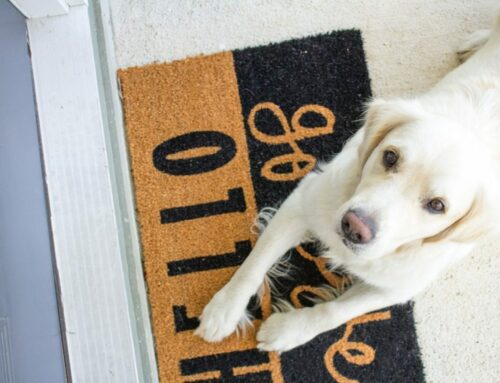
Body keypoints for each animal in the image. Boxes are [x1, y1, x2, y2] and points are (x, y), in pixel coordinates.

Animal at [194, 13, 500, 352]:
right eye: (390, 157)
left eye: (437, 205)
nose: (355, 227)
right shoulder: (304, 200)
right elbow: (255, 261)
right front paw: (225, 308)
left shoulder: (399, 286)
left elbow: (336, 311)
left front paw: (290, 329)